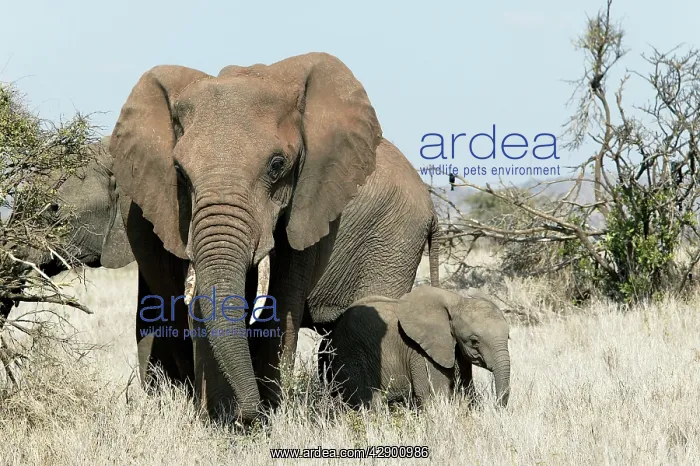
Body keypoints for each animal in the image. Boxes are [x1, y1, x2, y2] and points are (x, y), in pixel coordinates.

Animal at [317, 285, 511, 409]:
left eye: (508, 337)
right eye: (474, 341)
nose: (496, 407)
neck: (456, 301)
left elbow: (466, 391)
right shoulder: (420, 352)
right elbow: (435, 396)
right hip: (350, 353)